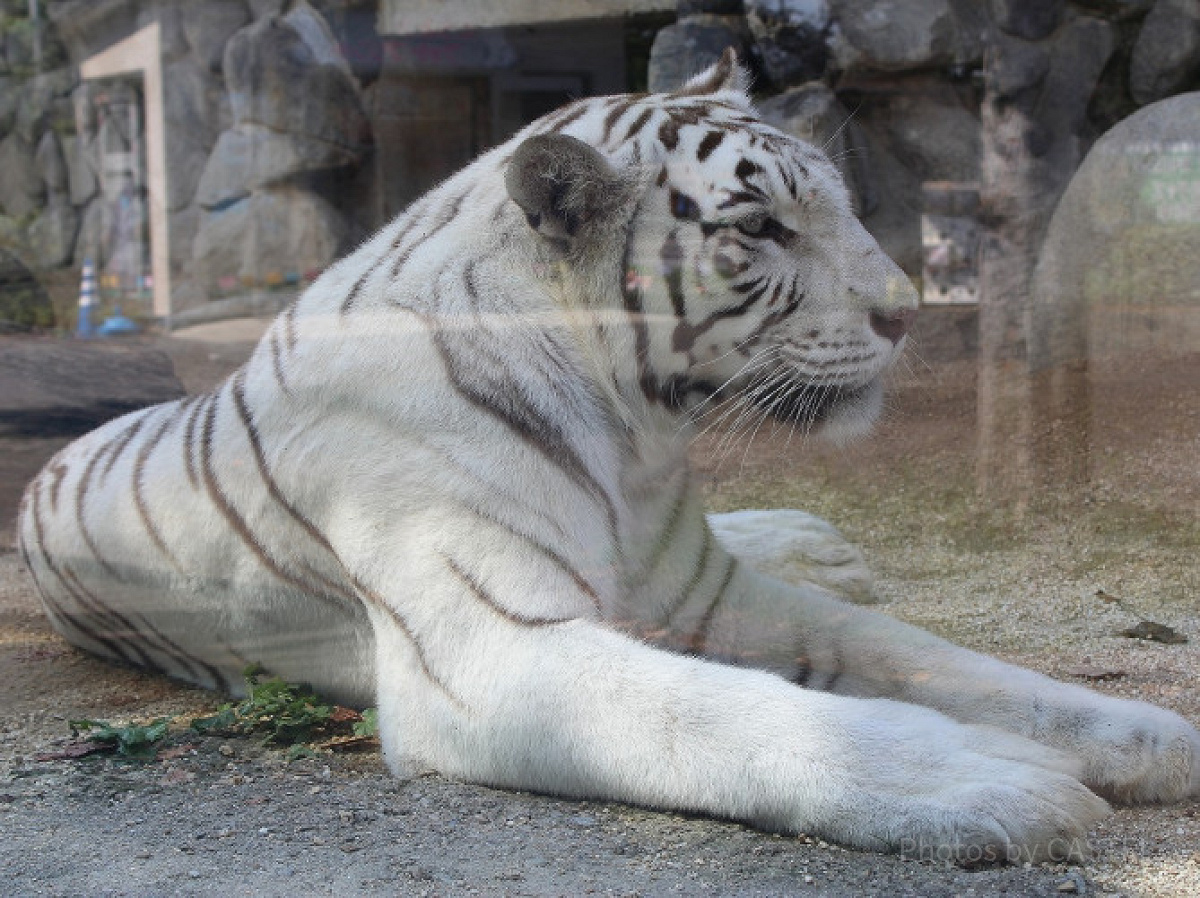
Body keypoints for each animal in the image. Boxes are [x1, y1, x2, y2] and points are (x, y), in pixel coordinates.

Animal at [14, 50, 1195, 864]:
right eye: (759, 229)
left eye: (842, 201)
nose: (908, 313)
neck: (638, 440)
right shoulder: (483, 649)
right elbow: (727, 711)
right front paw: (995, 781)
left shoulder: (707, 590)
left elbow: (937, 660)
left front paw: (1149, 735)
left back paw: (817, 542)